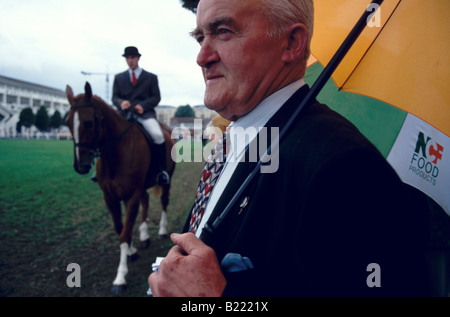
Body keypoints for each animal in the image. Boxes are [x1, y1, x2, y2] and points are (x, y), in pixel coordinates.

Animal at [65, 82, 176, 294]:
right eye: (67, 123)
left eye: (89, 122)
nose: (80, 166)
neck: (115, 154)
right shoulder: (110, 196)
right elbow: (120, 228)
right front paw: (132, 251)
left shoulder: (131, 195)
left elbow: (124, 233)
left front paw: (120, 277)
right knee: (146, 201)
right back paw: (144, 235)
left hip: (166, 180)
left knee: (165, 202)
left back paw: (161, 231)